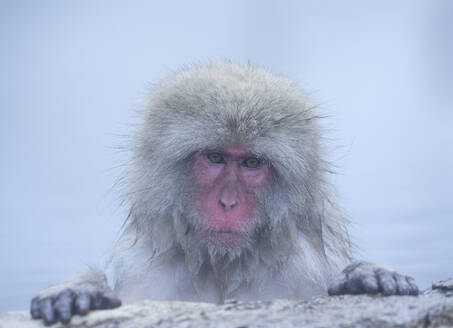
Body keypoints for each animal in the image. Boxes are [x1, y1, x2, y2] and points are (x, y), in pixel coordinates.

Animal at [29, 62, 416, 326]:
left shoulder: (305, 274)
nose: (228, 203)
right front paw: (82, 289)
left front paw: (365, 277)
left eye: (250, 162)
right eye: (215, 157)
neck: (223, 267)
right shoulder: (145, 277)